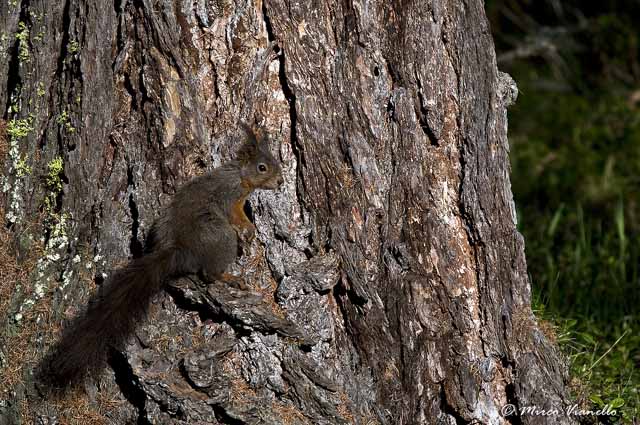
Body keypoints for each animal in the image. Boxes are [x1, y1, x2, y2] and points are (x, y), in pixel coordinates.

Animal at [35, 124, 283, 392]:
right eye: (262, 167)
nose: (280, 181)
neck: (239, 175)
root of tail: (179, 250)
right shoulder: (230, 198)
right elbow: (236, 217)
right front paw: (249, 230)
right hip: (221, 236)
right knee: (209, 274)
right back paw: (230, 278)